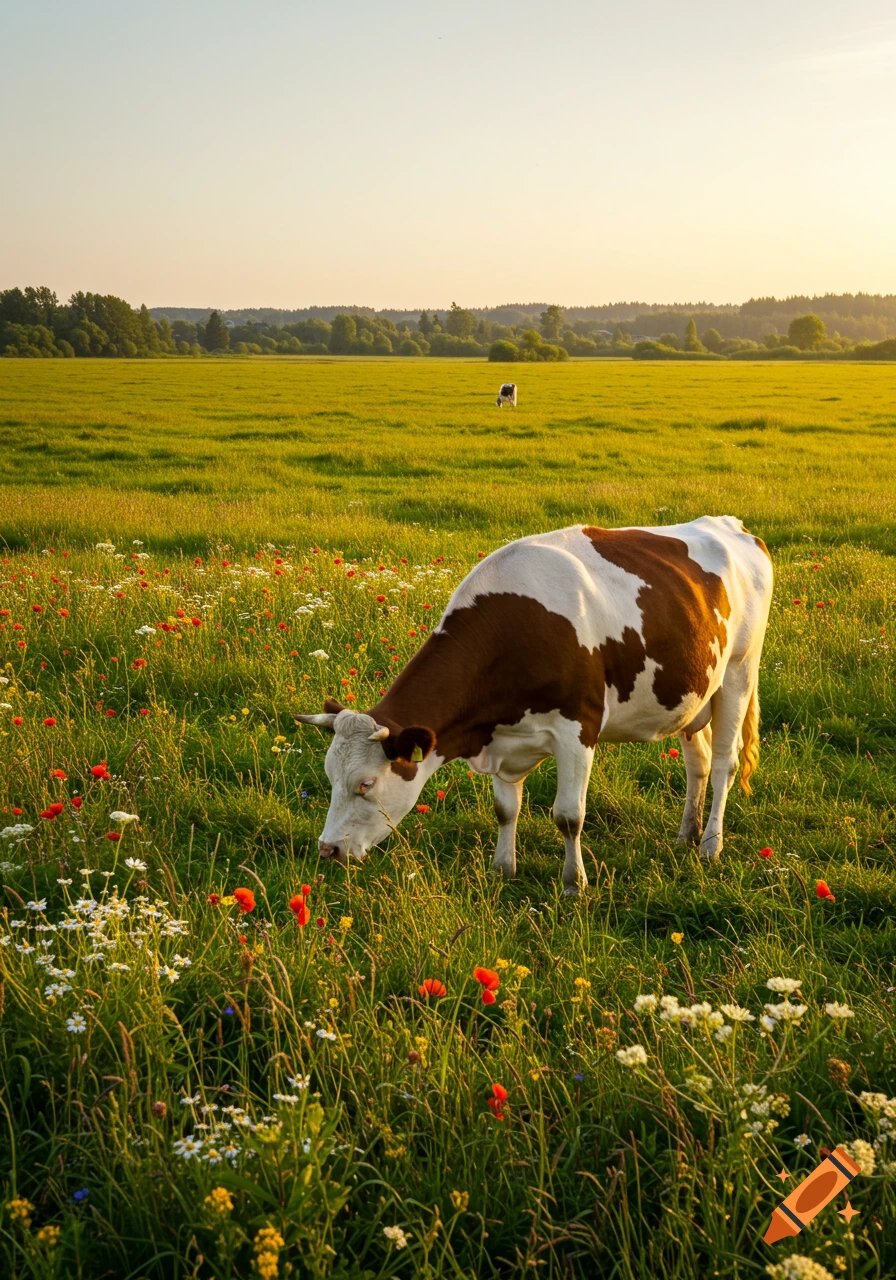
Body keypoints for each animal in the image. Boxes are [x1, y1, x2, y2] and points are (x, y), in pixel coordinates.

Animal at [296, 517, 773, 894]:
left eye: (366, 784)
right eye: (329, 776)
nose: (327, 849)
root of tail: (731, 525)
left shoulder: (578, 728)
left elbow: (569, 816)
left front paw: (574, 884)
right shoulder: (501, 737)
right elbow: (505, 809)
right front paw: (501, 870)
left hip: (738, 672)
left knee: (724, 764)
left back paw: (710, 845)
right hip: (693, 694)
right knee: (699, 763)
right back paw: (686, 835)